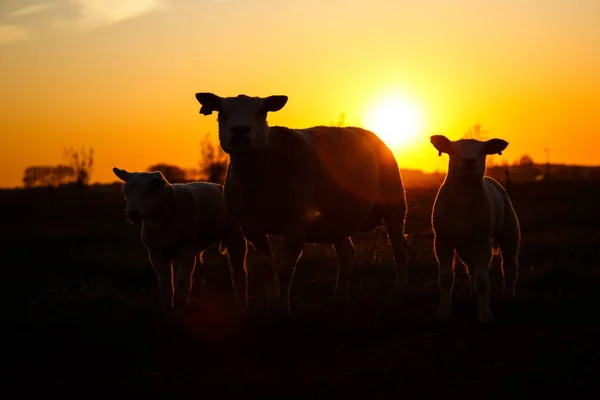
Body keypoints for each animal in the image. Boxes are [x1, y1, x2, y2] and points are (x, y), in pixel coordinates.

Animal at [111, 167, 247, 310]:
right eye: (126, 194)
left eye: (149, 190)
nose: (132, 214)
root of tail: (219, 186)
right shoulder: (156, 254)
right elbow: (165, 285)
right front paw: (168, 308)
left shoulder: (186, 250)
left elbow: (181, 282)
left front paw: (182, 307)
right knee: (198, 275)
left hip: (234, 234)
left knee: (238, 271)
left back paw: (242, 303)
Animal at [192, 92, 408, 314]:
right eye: (221, 112)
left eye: (262, 112)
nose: (241, 131)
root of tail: (369, 133)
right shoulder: (251, 227)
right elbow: (268, 268)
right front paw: (272, 304)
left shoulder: (296, 225)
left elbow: (285, 271)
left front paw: (284, 309)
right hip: (336, 220)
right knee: (347, 255)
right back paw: (338, 298)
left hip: (394, 204)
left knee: (399, 250)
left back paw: (400, 290)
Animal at [432, 136, 520, 324]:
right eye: (453, 150)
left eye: (483, 151)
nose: (469, 161)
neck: (463, 202)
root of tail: (490, 179)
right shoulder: (442, 240)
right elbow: (445, 277)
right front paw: (443, 312)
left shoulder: (482, 242)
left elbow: (482, 281)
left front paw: (485, 316)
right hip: (466, 245)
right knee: (471, 268)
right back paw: (473, 297)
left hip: (510, 232)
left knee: (509, 267)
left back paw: (508, 298)